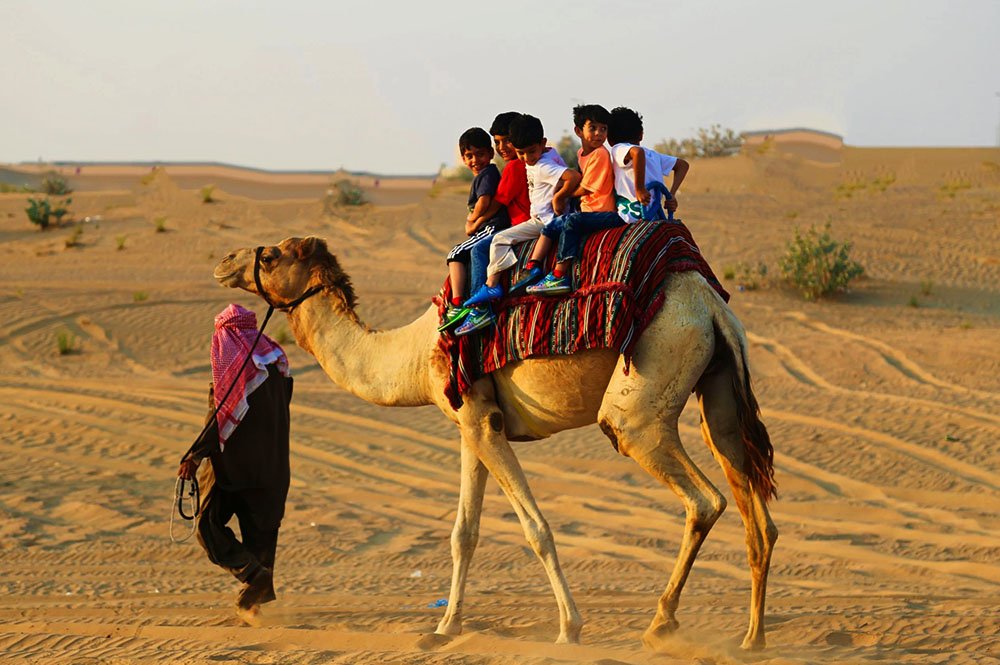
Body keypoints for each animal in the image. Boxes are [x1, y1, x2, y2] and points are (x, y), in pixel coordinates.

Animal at [213, 236, 778, 650]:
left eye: (270, 254)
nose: (223, 262)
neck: (414, 353)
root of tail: (709, 305)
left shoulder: (481, 421)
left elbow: (536, 528)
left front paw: (569, 628)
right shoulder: (473, 422)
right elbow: (463, 533)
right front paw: (445, 628)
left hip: (643, 397)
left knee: (702, 498)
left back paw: (661, 624)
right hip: (718, 393)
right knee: (757, 512)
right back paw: (750, 639)